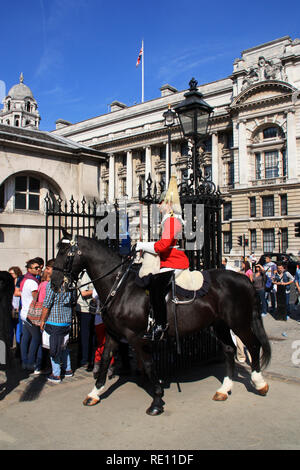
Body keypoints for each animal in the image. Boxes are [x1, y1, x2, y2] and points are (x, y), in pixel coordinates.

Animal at [51, 232, 272, 414]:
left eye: (65, 252)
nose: (54, 281)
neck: (120, 287)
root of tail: (243, 278)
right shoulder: (114, 334)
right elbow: (105, 360)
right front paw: (94, 393)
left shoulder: (137, 337)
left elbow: (149, 365)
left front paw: (157, 400)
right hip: (219, 324)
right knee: (228, 349)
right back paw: (224, 389)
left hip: (239, 322)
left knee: (253, 346)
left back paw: (259, 383)